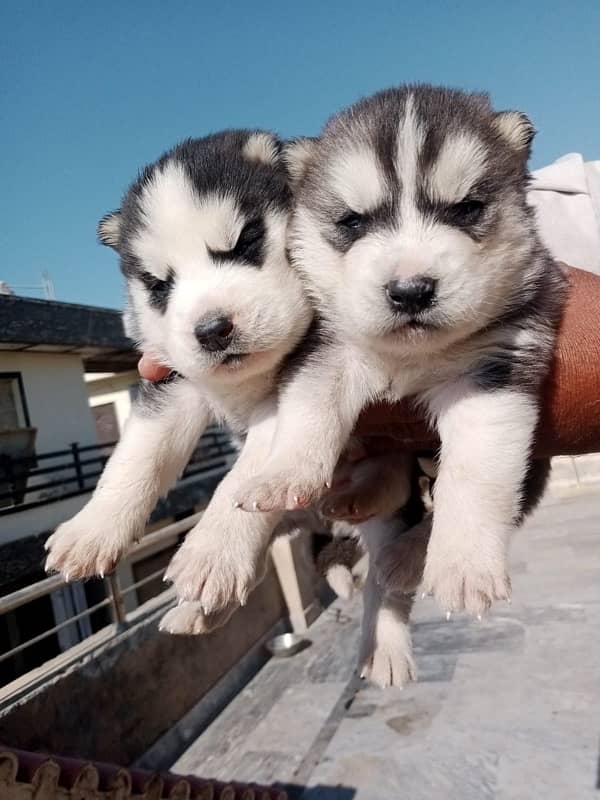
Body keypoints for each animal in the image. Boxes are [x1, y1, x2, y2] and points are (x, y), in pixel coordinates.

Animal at [232, 83, 564, 620]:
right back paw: (361, 501)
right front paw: (282, 472)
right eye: (352, 221)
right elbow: (309, 407)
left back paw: (406, 559)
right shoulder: (327, 348)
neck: (411, 356)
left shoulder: (495, 373)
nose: (410, 291)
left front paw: (465, 565)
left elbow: (473, 474)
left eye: (465, 209)